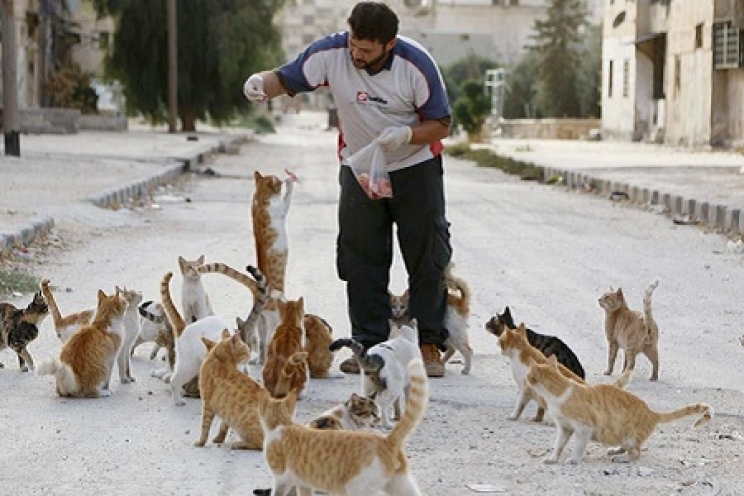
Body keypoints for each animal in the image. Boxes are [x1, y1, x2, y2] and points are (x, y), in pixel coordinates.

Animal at [524, 354, 708, 464]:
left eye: (527, 376)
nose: (524, 381)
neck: (558, 391)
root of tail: (652, 413)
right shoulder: (564, 428)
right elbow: (558, 445)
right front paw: (553, 458)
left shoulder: (584, 428)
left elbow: (578, 447)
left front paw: (574, 459)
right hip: (622, 436)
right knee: (628, 448)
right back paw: (615, 451)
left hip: (630, 438)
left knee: (636, 453)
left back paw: (623, 459)